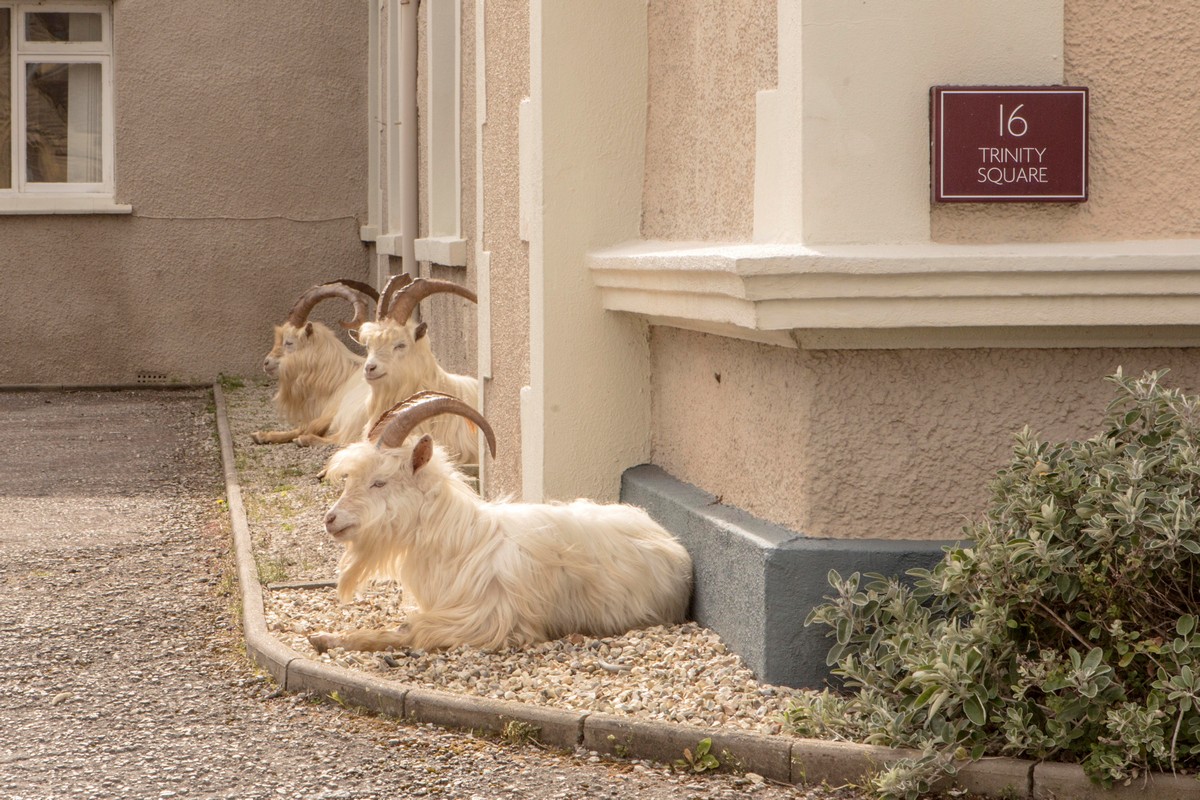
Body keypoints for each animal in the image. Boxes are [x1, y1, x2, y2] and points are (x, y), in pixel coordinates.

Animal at [248, 278, 369, 448]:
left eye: (289, 342)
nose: (266, 363)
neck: (341, 378)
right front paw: (262, 435)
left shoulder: (331, 411)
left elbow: (307, 427)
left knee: (341, 439)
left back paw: (306, 440)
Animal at [309, 391, 696, 652]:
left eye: (380, 482)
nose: (331, 519)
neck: (460, 542)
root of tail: (673, 545)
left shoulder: (485, 621)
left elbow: (411, 630)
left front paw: (326, 638)